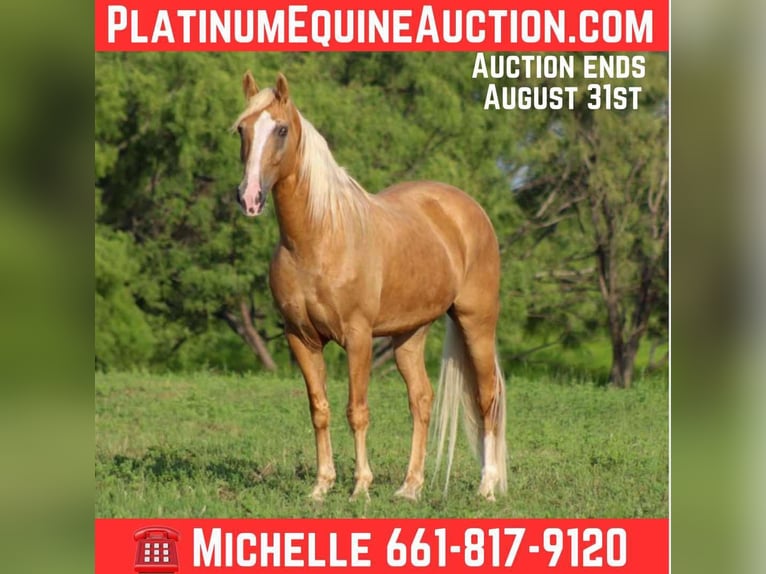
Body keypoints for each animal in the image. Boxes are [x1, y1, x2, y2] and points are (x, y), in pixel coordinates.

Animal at [232, 71, 507, 502]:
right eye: (241, 130)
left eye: (281, 129)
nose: (249, 197)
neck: (318, 238)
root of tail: (469, 209)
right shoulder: (301, 338)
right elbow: (320, 409)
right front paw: (321, 486)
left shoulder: (358, 337)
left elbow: (356, 411)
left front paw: (360, 486)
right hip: (409, 334)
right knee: (421, 400)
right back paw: (410, 487)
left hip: (475, 321)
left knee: (487, 396)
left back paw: (487, 487)